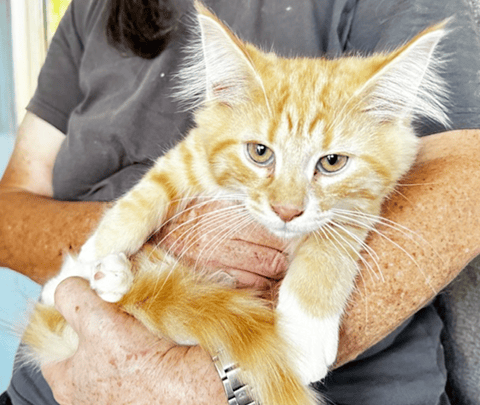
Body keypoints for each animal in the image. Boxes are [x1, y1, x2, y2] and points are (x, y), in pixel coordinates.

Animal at [23, 3, 450, 404]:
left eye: (332, 162)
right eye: (260, 153)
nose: (286, 210)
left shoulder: (360, 206)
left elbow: (326, 249)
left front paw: (306, 333)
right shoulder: (189, 155)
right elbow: (140, 201)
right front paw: (81, 264)